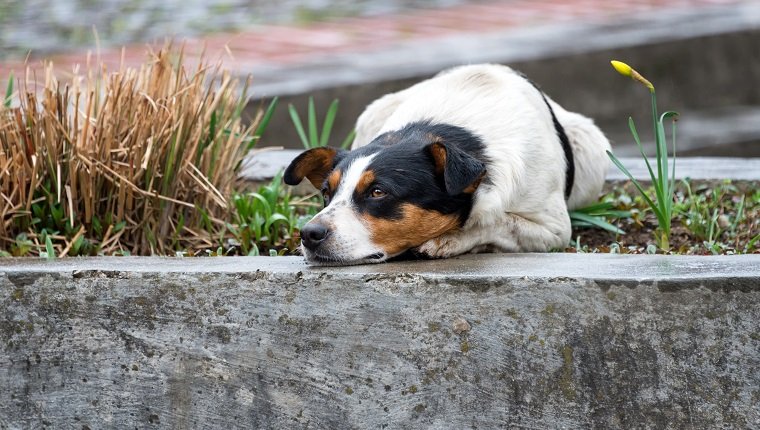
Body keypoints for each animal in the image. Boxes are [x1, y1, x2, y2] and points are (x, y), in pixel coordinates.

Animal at [282, 63, 608, 266]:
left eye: (377, 192)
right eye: (327, 193)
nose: (308, 234)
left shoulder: (554, 229)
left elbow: (496, 221)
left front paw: (450, 240)